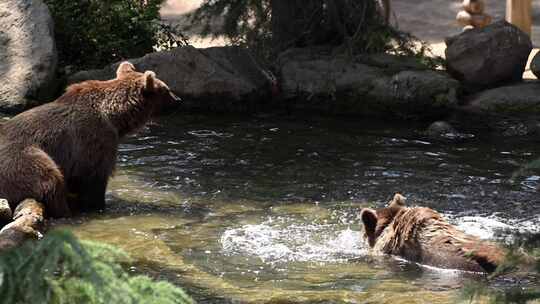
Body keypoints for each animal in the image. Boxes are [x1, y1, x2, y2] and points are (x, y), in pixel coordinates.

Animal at [0, 62, 181, 218]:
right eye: (167, 90)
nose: (178, 100)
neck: (116, 118)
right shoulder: (94, 139)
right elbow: (94, 177)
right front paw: (97, 204)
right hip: (21, 159)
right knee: (50, 180)